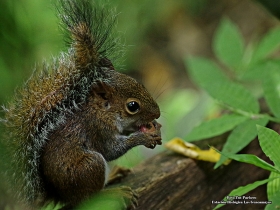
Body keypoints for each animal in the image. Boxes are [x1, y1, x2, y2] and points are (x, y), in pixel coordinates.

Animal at [1, 0, 162, 210]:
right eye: (133, 106)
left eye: (139, 83)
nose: (157, 114)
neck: (101, 111)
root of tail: (60, 196)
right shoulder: (98, 129)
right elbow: (112, 150)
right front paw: (142, 138)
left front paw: (154, 128)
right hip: (90, 166)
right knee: (87, 199)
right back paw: (115, 192)